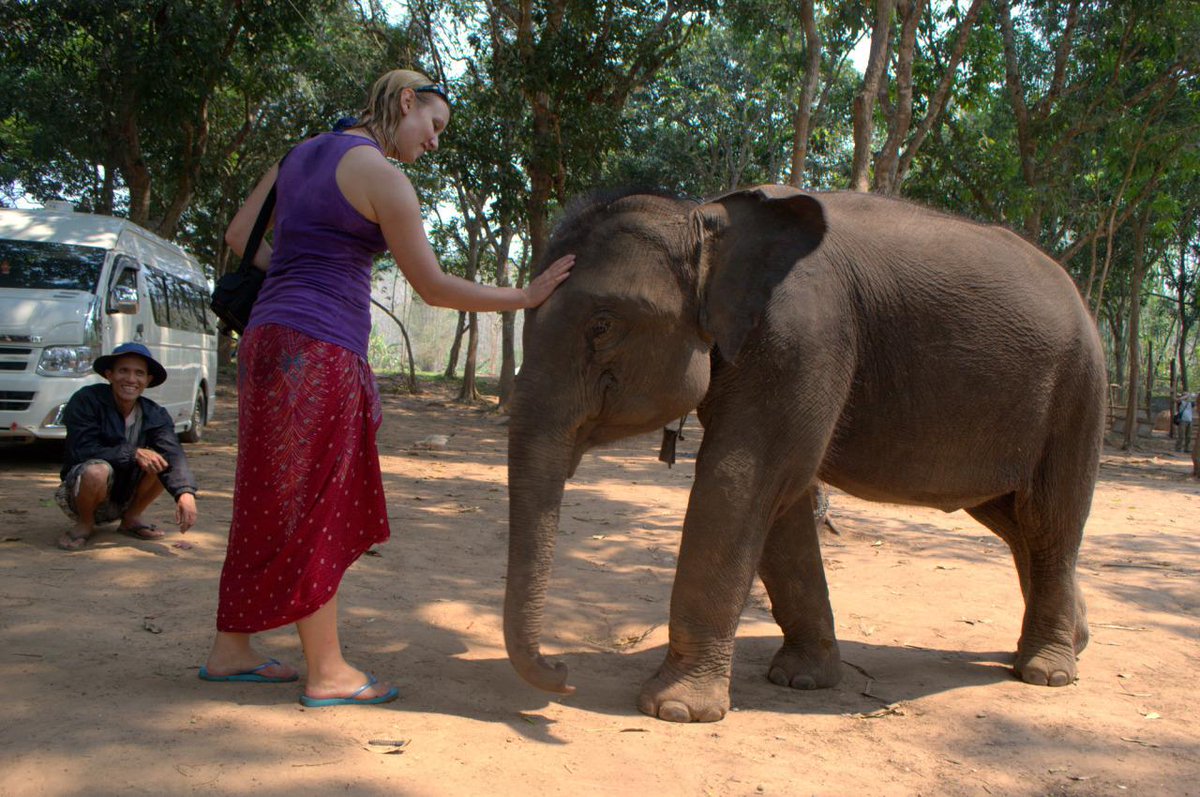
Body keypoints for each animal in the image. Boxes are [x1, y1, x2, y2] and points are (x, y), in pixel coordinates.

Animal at [504, 185, 1105, 723]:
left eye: (602, 326)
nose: (562, 672)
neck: (706, 216)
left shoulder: (803, 335)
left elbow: (742, 477)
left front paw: (673, 709)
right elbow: (780, 499)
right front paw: (800, 679)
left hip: (1079, 390)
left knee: (1049, 516)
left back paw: (1046, 671)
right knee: (1013, 520)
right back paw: (1076, 639)